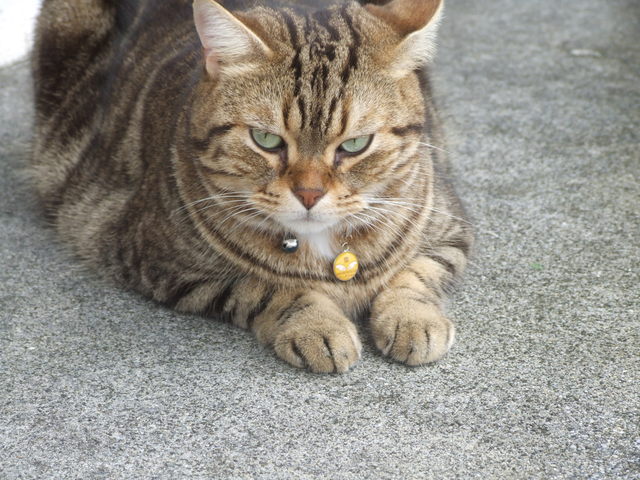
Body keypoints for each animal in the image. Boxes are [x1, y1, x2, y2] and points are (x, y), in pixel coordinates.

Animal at [32, 0, 472, 372]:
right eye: (266, 140)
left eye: (354, 145)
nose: (309, 194)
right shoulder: (160, 263)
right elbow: (267, 288)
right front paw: (317, 326)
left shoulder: (451, 231)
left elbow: (413, 275)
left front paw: (413, 320)